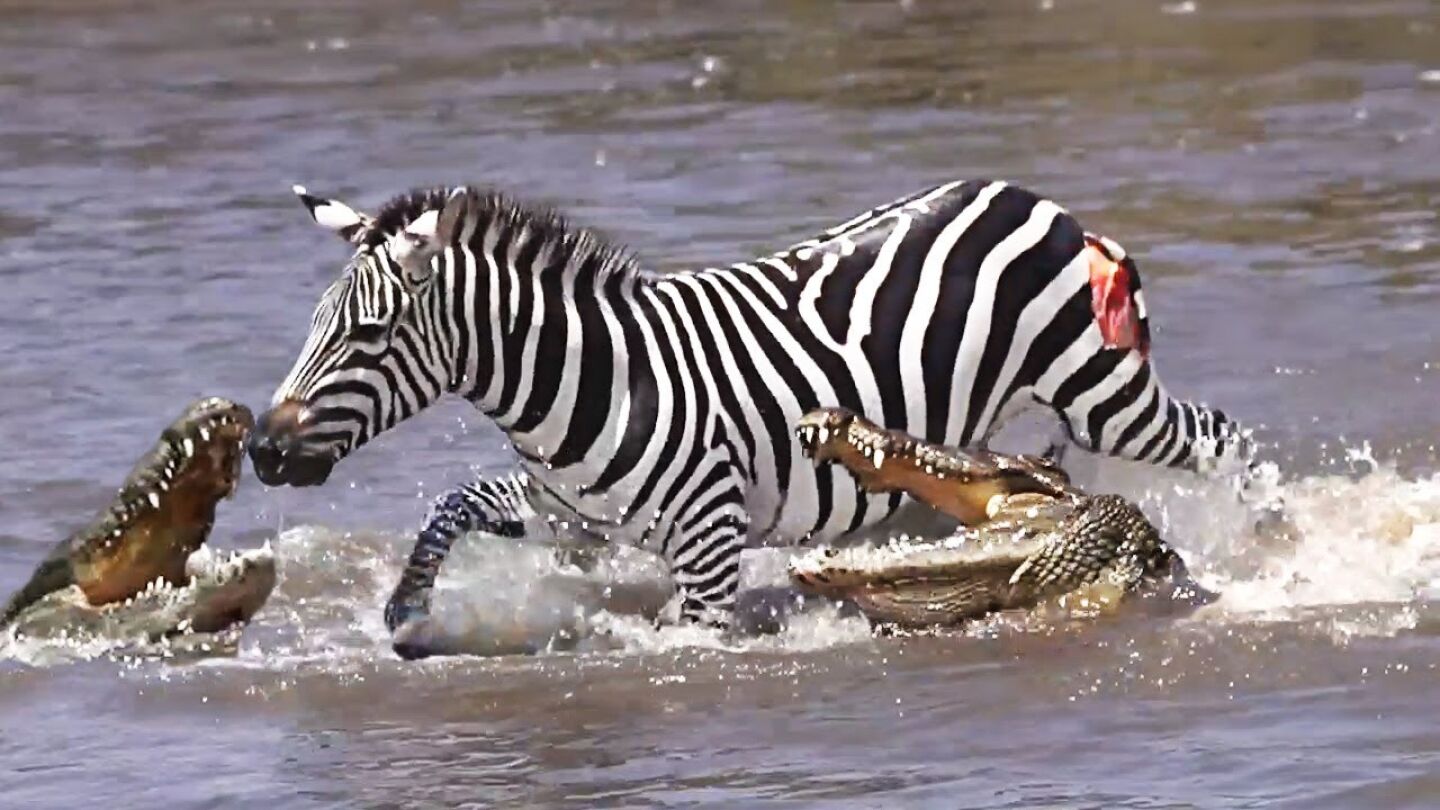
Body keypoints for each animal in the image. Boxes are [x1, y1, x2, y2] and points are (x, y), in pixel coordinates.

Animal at [247, 178, 1254, 657]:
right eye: (313, 323)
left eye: (367, 334)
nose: (259, 450)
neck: (598, 379)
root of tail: (1044, 206)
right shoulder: (574, 518)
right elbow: (452, 505)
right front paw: (409, 609)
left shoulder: (708, 543)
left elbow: (691, 639)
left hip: (1098, 389)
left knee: (1222, 439)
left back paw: (1266, 536)